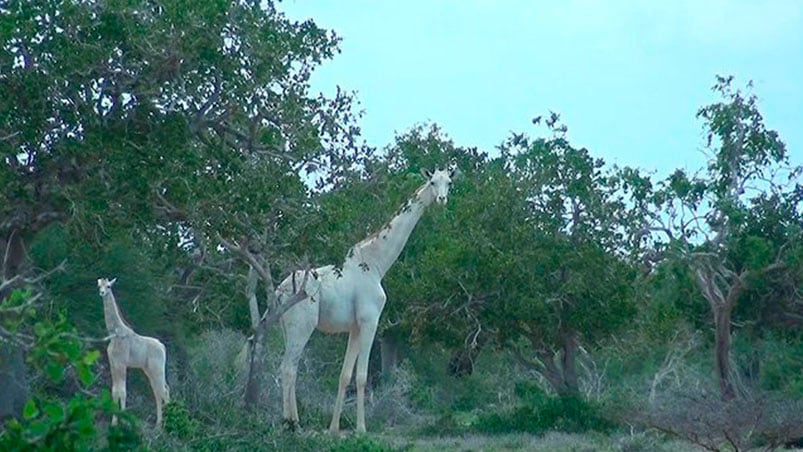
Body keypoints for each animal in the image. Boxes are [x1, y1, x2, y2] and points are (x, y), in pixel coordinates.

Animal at [99, 278, 171, 430]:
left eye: (108, 286)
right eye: (99, 285)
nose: (102, 293)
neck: (115, 334)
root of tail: (163, 347)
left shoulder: (121, 364)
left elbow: (122, 391)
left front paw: (120, 421)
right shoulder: (113, 364)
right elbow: (114, 391)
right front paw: (113, 422)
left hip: (157, 368)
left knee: (163, 390)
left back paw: (167, 424)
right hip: (148, 370)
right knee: (158, 392)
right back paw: (158, 424)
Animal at [278, 168, 458, 432]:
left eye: (449, 182)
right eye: (433, 182)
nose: (442, 200)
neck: (376, 264)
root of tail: (278, 292)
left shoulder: (354, 327)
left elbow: (345, 375)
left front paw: (334, 428)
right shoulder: (370, 320)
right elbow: (362, 376)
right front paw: (361, 428)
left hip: (289, 327)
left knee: (291, 366)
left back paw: (292, 421)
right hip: (301, 326)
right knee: (288, 368)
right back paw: (291, 423)